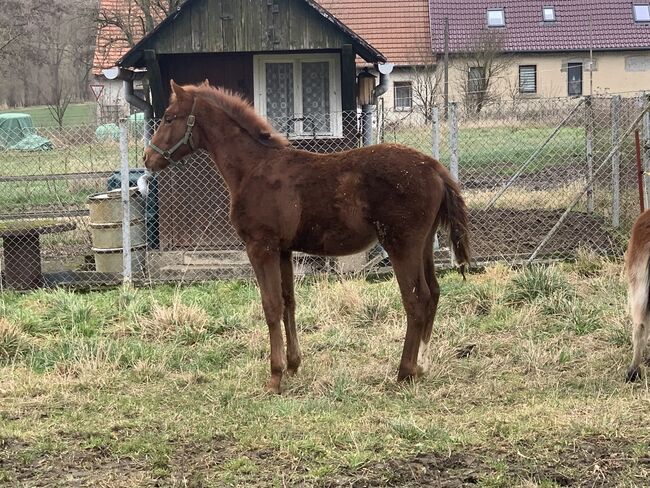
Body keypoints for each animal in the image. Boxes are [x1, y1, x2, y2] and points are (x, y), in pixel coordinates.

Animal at [144, 80, 468, 392]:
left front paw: (275, 378)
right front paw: (293, 365)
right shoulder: (284, 250)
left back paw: (405, 372)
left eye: (169, 117)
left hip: (402, 246)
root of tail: (435, 169)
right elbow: (289, 302)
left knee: (416, 300)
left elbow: (271, 305)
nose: (148, 158)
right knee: (434, 294)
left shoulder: (260, 247)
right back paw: (422, 366)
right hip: (423, 245)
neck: (253, 167)